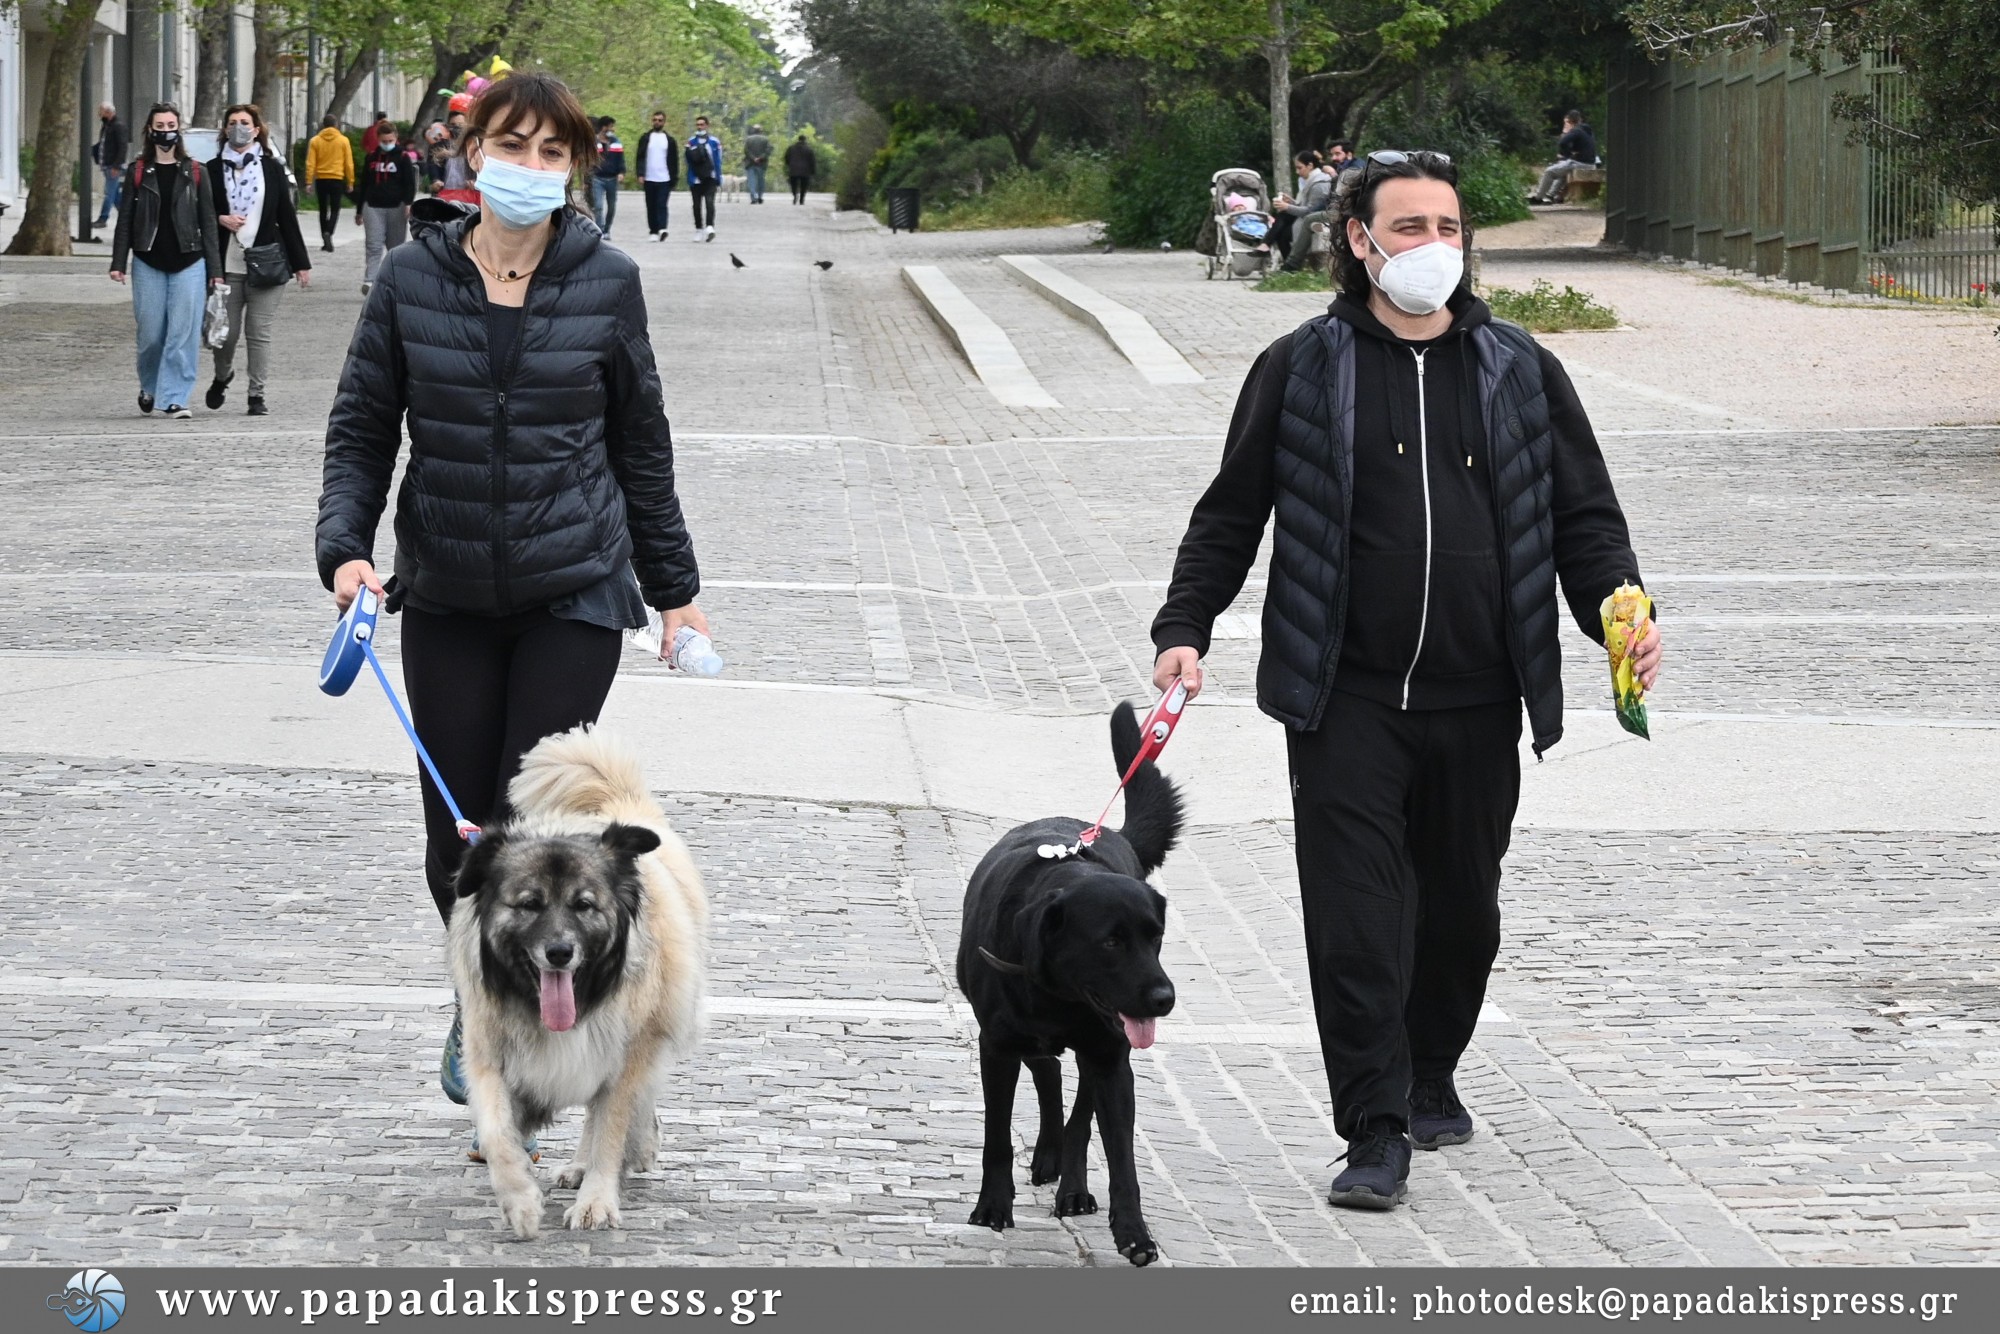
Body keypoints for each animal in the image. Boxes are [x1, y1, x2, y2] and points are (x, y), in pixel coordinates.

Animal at [956, 704, 1176, 1272]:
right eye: (1111, 942)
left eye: (1155, 937)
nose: (1165, 999)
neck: (1060, 997)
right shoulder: (997, 1047)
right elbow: (996, 1137)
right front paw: (992, 1208)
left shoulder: (1112, 1058)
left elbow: (1121, 1157)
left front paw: (1134, 1234)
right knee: (1048, 1072)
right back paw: (1047, 1158)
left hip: (1103, 1051)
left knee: (1076, 1110)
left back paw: (1070, 1185)